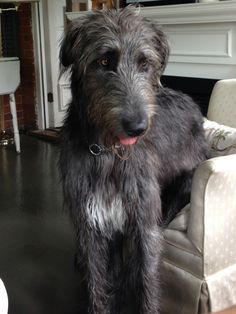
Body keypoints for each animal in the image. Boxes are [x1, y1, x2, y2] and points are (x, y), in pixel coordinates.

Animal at [59, 6, 208, 314]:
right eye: (104, 61)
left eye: (144, 63)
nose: (137, 127)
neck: (107, 152)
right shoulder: (89, 224)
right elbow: (96, 279)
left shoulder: (144, 224)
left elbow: (147, 279)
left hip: (179, 190)